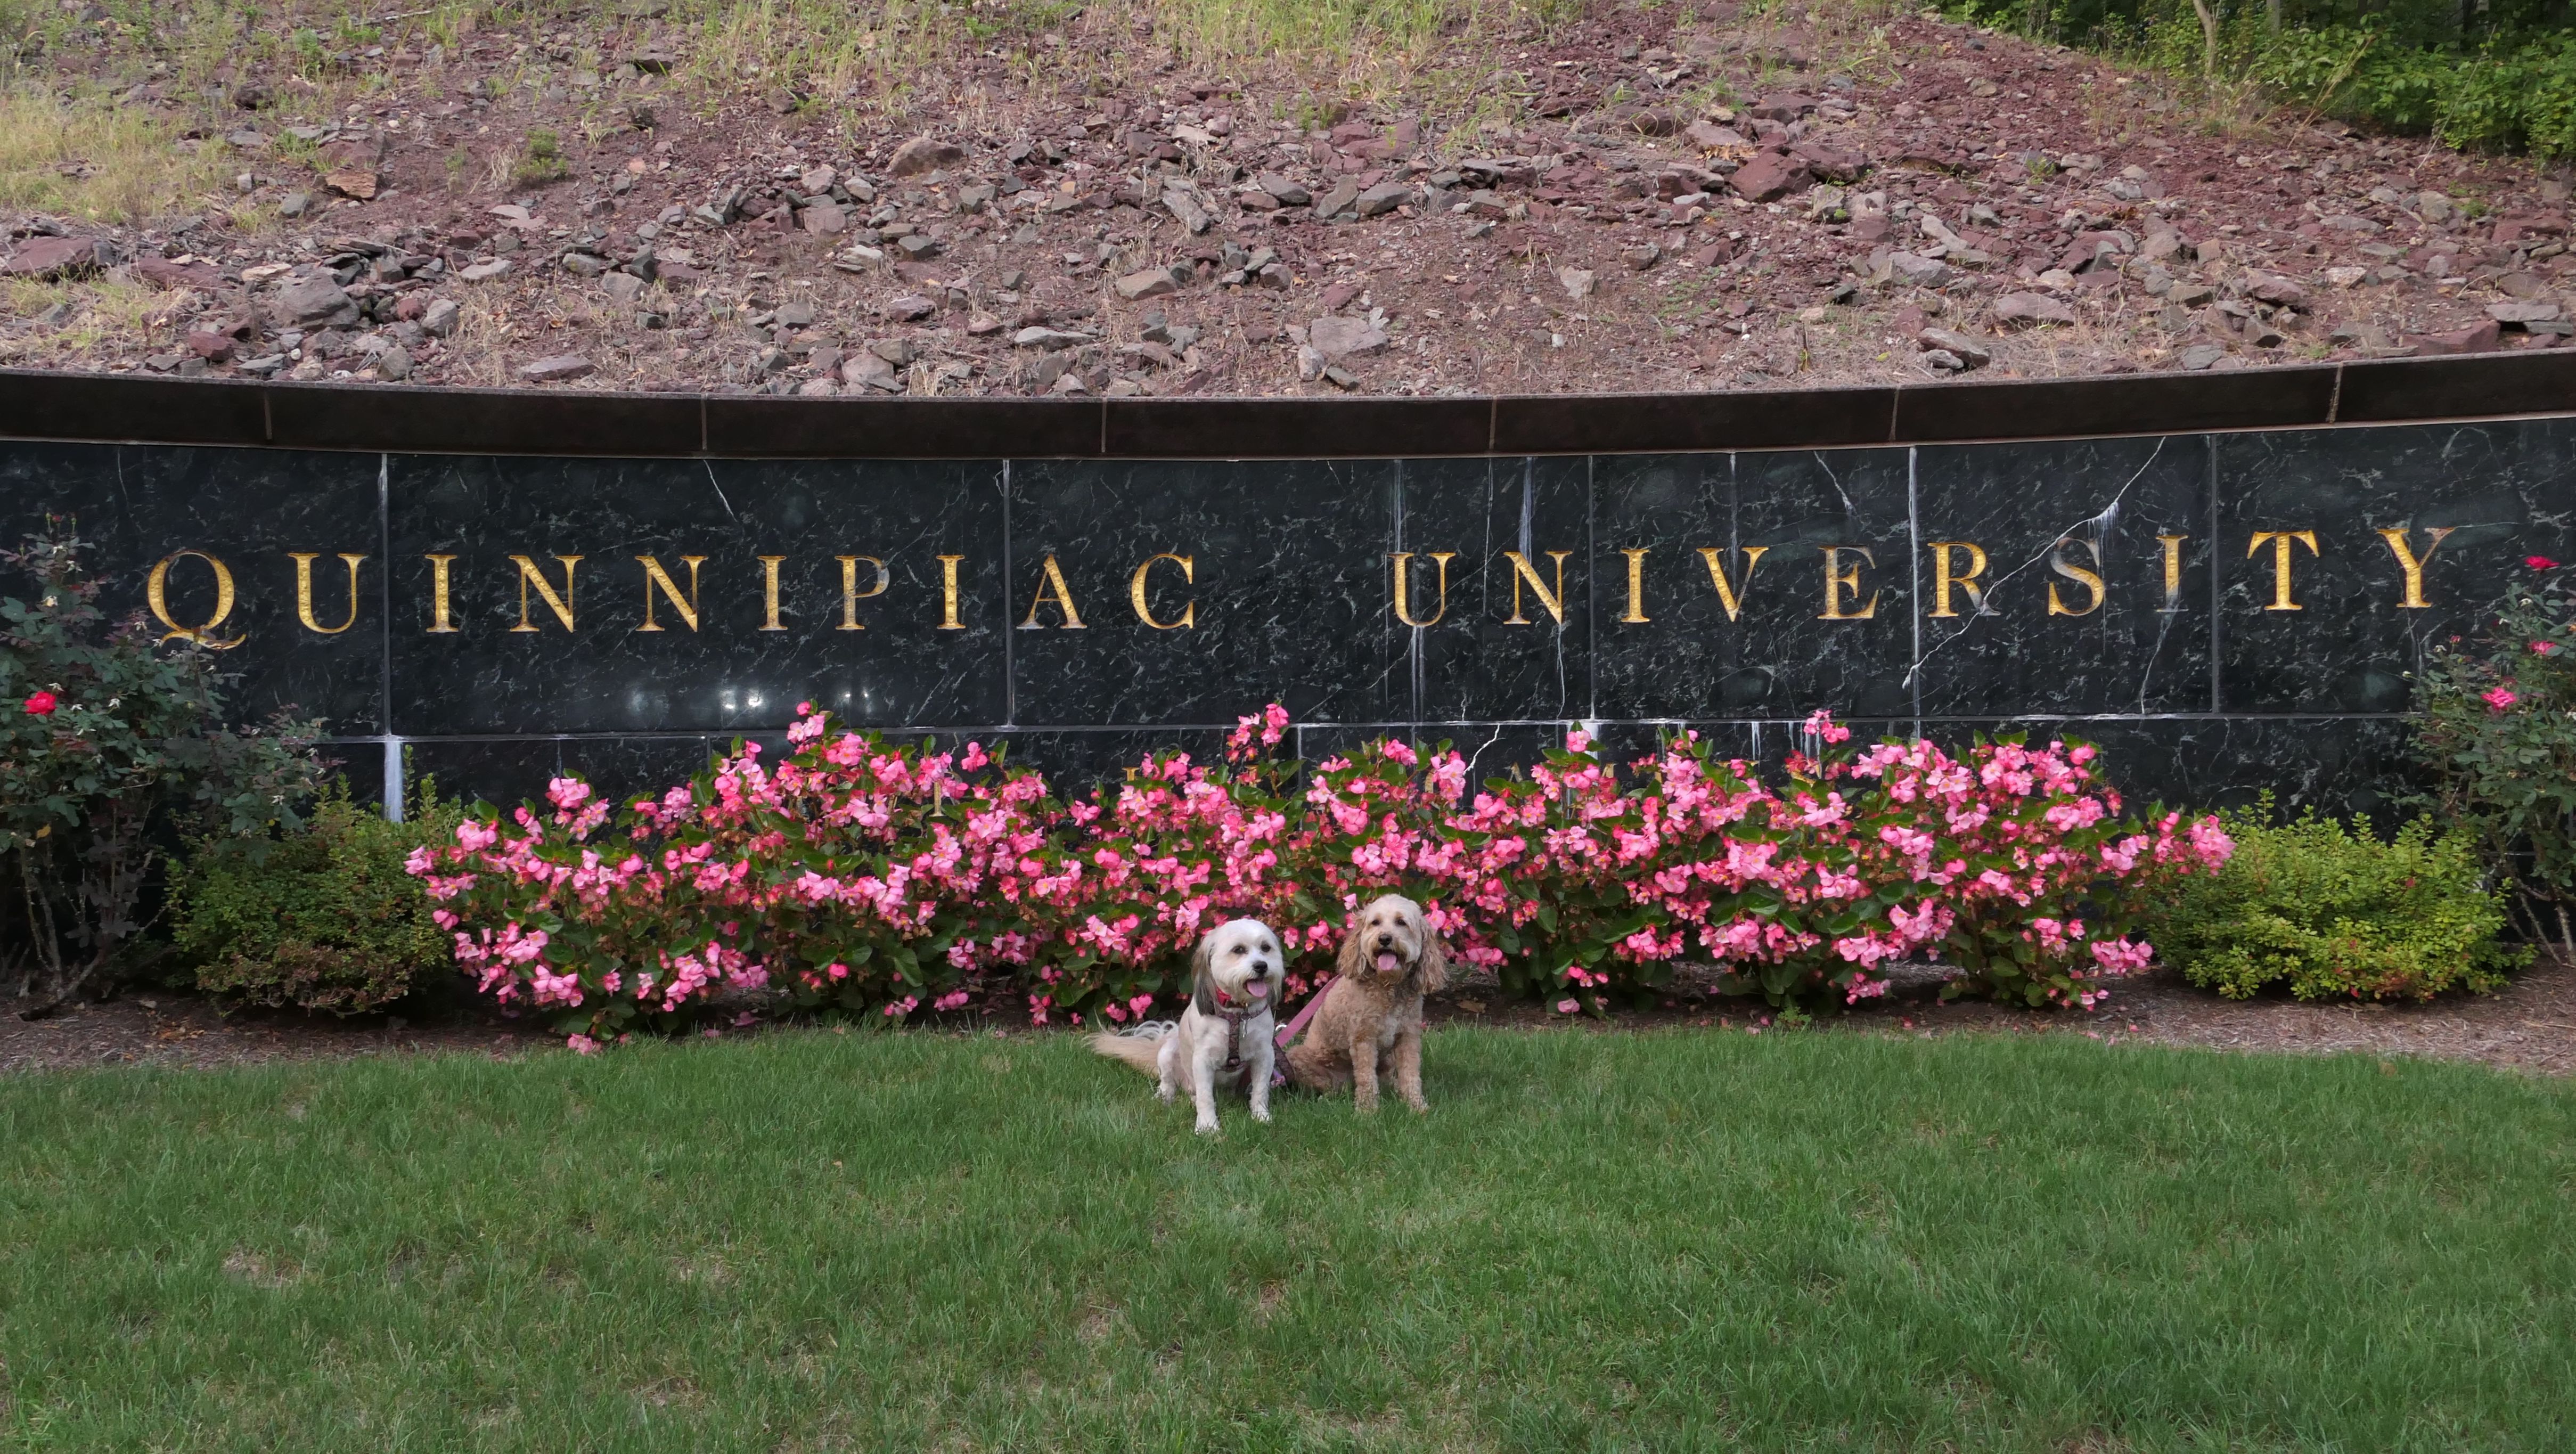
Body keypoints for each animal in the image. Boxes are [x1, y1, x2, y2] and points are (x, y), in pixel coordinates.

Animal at [1089, 918, 1281, 1135]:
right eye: (1238, 950)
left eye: (1266, 948)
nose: (1261, 966)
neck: (1237, 1015)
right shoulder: (1202, 1060)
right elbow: (1205, 1097)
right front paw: (1207, 1126)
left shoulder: (1265, 1055)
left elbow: (1261, 1089)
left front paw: (1261, 1117)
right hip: (1168, 1054)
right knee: (1170, 1084)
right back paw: (1166, 1097)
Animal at [1282, 894, 1448, 1113]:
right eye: (1375, 923)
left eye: (1401, 922)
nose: (1384, 939)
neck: (1388, 985)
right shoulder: (1363, 1039)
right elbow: (1367, 1078)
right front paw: (1368, 1110)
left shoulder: (1408, 1037)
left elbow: (1411, 1074)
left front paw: (1417, 1106)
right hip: (1299, 1057)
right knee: (1331, 1086)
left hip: (1387, 1058)